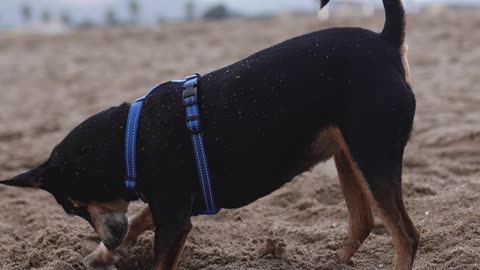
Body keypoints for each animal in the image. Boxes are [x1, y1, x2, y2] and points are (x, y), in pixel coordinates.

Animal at [0, 0, 418, 270]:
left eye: (73, 205)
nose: (109, 240)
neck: (130, 140)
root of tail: (385, 41)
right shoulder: (168, 207)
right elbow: (138, 220)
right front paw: (98, 256)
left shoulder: (173, 222)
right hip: (349, 155)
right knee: (363, 222)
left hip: (372, 154)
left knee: (405, 236)